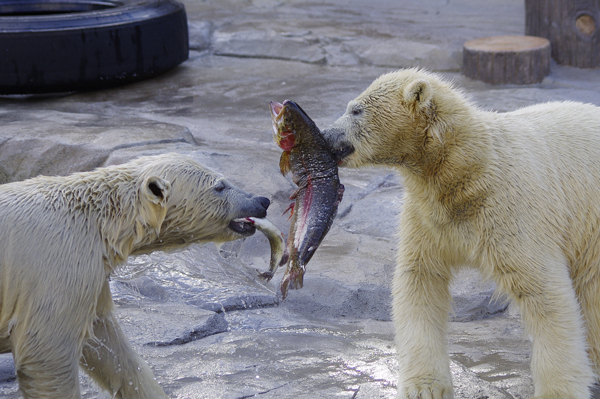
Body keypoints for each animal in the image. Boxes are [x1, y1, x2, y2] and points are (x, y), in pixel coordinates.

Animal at [0, 154, 270, 399]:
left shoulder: (92, 274)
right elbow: (47, 351)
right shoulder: (59, 263)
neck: (99, 220)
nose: (263, 200)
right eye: (219, 186)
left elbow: (107, 346)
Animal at [324, 67, 600, 398]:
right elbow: (420, 280)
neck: (467, 167)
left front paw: (557, 391)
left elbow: (544, 292)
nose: (325, 136)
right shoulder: (427, 216)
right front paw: (425, 387)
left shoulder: (513, 210)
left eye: (356, 110)